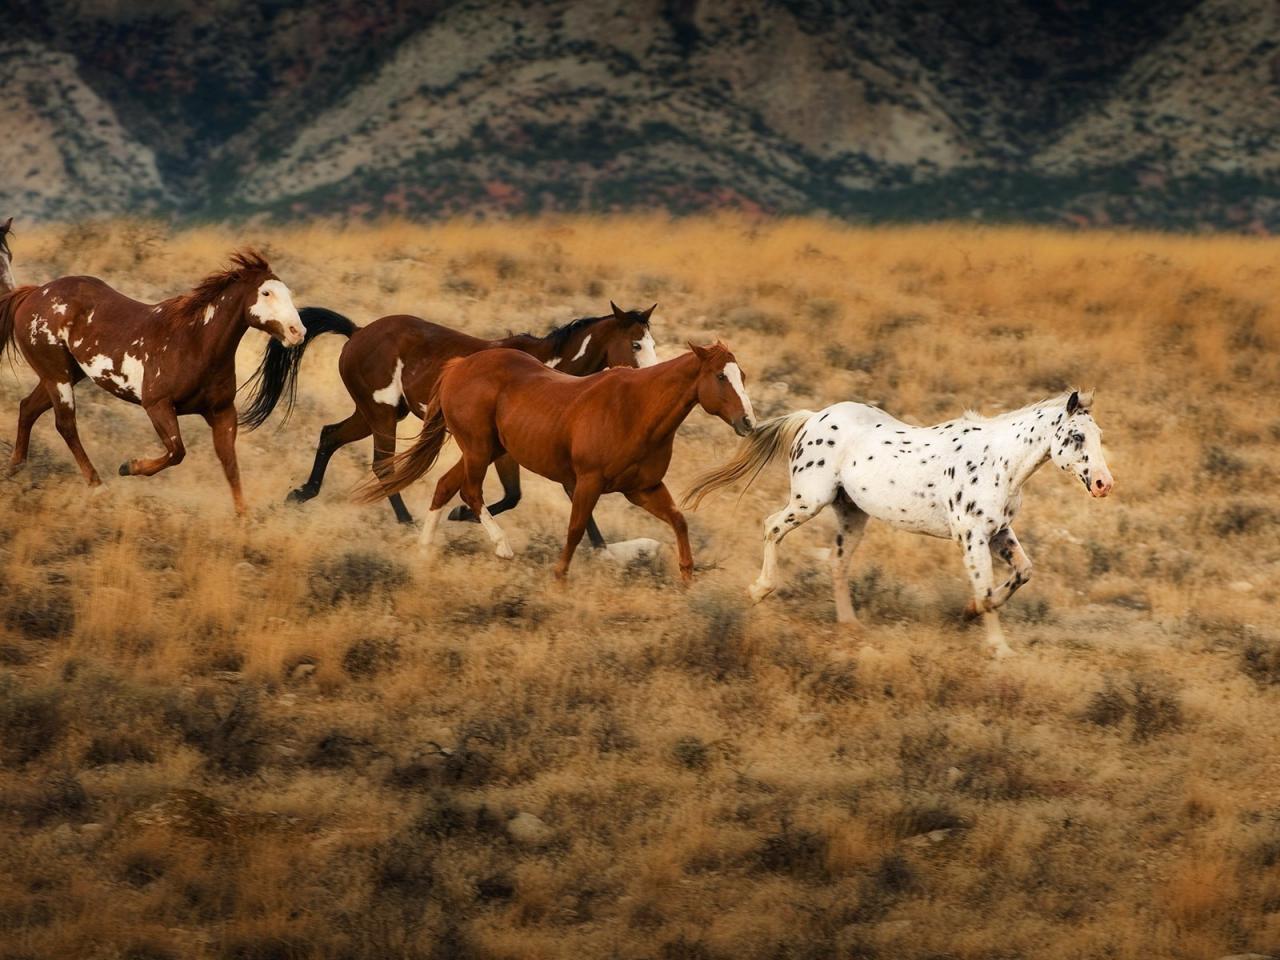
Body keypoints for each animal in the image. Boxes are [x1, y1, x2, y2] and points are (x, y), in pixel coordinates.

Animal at [0, 252, 304, 514]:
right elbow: (177, 451)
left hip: (65, 374)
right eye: (266, 293)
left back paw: (13, 469)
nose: (297, 332)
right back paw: (97, 486)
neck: (196, 342)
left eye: (289, 293)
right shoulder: (157, 405)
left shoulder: (222, 412)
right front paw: (129, 467)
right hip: (57, 376)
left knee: (28, 408)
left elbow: (229, 463)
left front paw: (243, 519)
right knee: (65, 425)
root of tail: (33, 293)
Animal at [240, 302, 660, 547]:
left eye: (653, 341)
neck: (545, 368)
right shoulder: (502, 447)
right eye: (636, 344)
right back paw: (406, 521)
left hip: (377, 413)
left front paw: (602, 549)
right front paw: (461, 515)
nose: (652, 377)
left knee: (330, 435)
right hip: (380, 415)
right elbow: (519, 495)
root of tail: (358, 332)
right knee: (382, 464)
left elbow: (547, 495)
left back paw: (301, 493)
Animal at [360, 343, 752, 583]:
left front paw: (687, 575)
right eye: (721, 376)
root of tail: (459, 366)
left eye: (742, 376)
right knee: (470, 492)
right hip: (479, 449)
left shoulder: (643, 489)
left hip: (488, 451)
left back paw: (426, 549)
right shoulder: (588, 481)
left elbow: (679, 521)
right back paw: (502, 547)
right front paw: (560, 577)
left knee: (444, 486)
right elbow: (576, 528)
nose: (748, 422)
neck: (635, 408)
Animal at [686, 391, 1116, 660]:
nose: (1103, 484)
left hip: (851, 515)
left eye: (1099, 435)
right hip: (809, 501)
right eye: (1076, 436)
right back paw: (759, 591)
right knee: (773, 526)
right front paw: (997, 645)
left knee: (837, 563)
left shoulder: (998, 533)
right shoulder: (971, 537)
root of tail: (812, 418)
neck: (998, 462)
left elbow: (1023, 572)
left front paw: (970, 612)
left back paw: (849, 624)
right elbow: (986, 590)